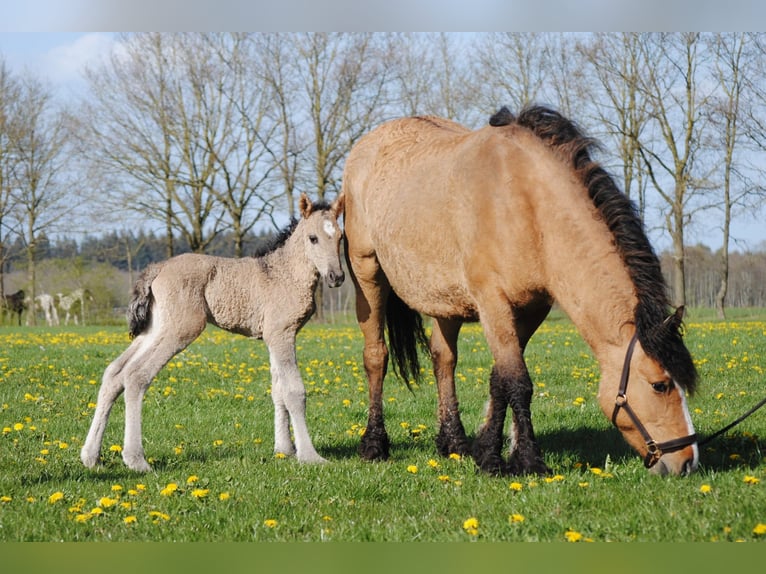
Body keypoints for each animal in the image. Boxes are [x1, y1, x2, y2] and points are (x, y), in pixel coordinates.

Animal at [342, 105, 699, 477]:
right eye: (660, 385)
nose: (688, 461)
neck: (526, 202)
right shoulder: (493, 304)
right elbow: (517, 381)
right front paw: (526, 460)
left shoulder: (531, 309)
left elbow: (500, 379)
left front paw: (489, 452)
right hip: (368, 276)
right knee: (376, 357)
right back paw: (374, 444)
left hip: (446, 300)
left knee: (444, 358)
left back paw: (454, 443)